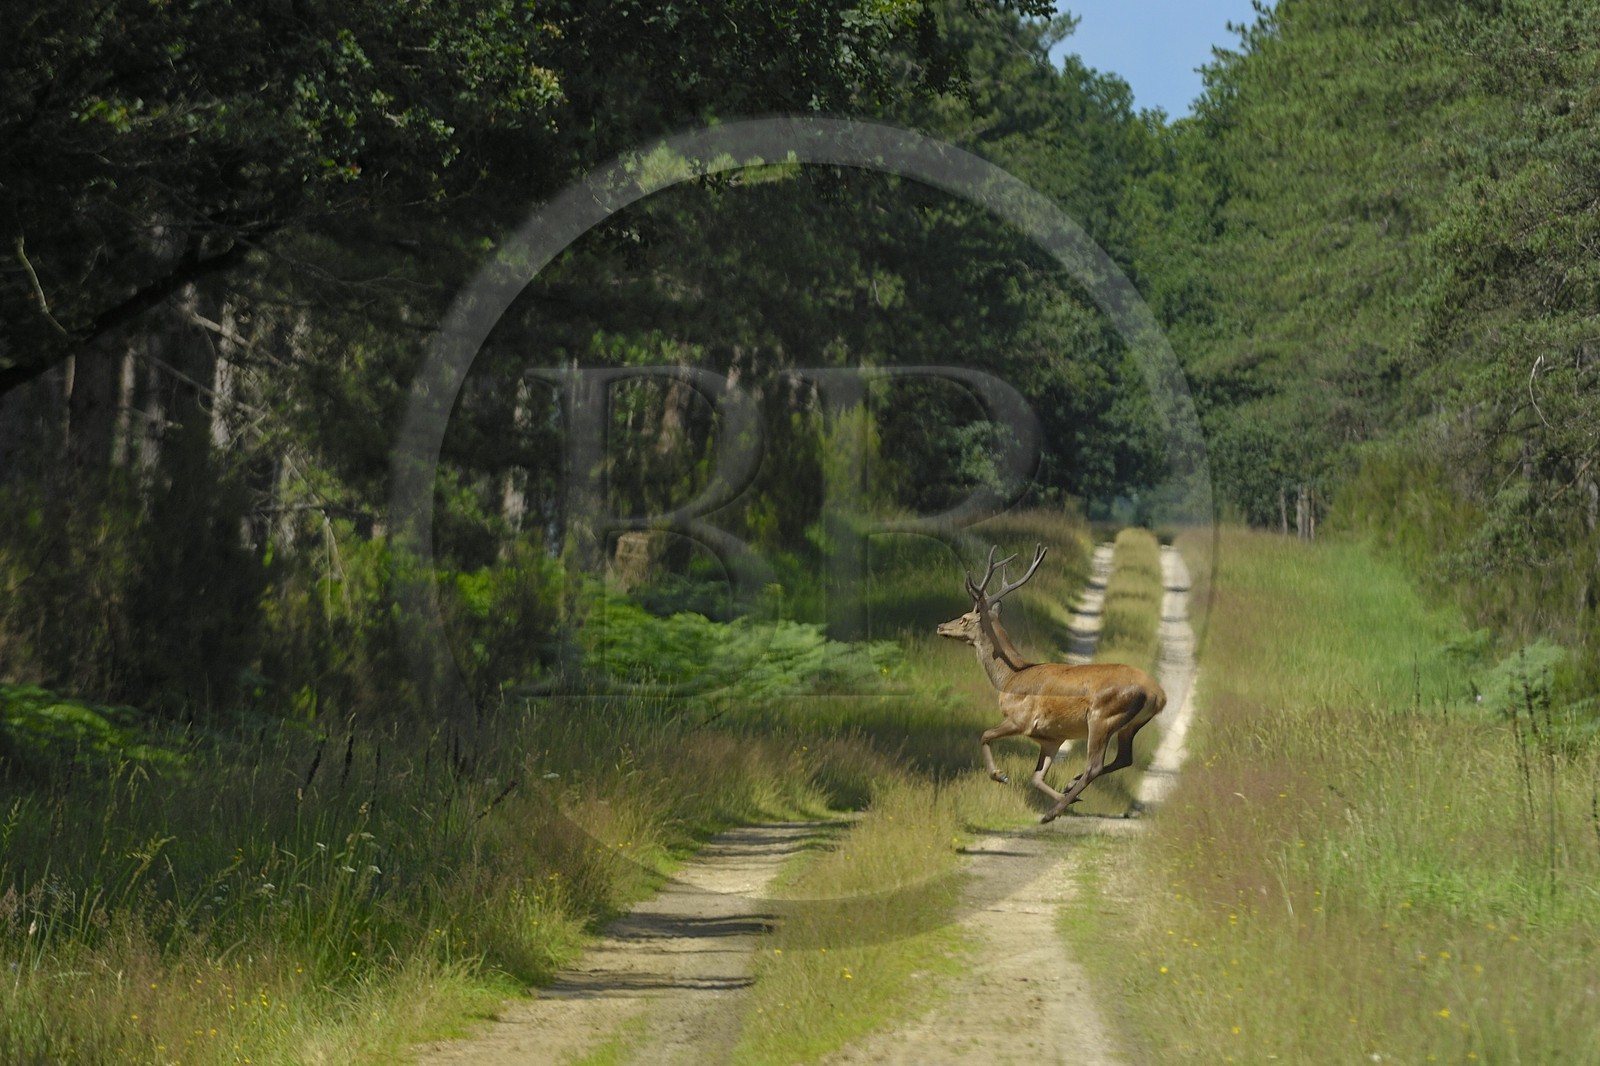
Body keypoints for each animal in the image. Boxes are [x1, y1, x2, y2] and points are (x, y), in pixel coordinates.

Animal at [937, 543, 1166, 822]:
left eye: (964, 618)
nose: (941, 626)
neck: (1010, 677)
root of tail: (1158, 695)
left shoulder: (1021, 719)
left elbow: (985, 735)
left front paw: (1000, 775)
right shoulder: (1051, 737)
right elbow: (1035, 777)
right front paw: (1070, 797)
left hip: (1103, 716)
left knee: (1095, 765)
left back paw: (1051, 812)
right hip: (1131, 724)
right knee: (1124, 758)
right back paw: (1069, 788)